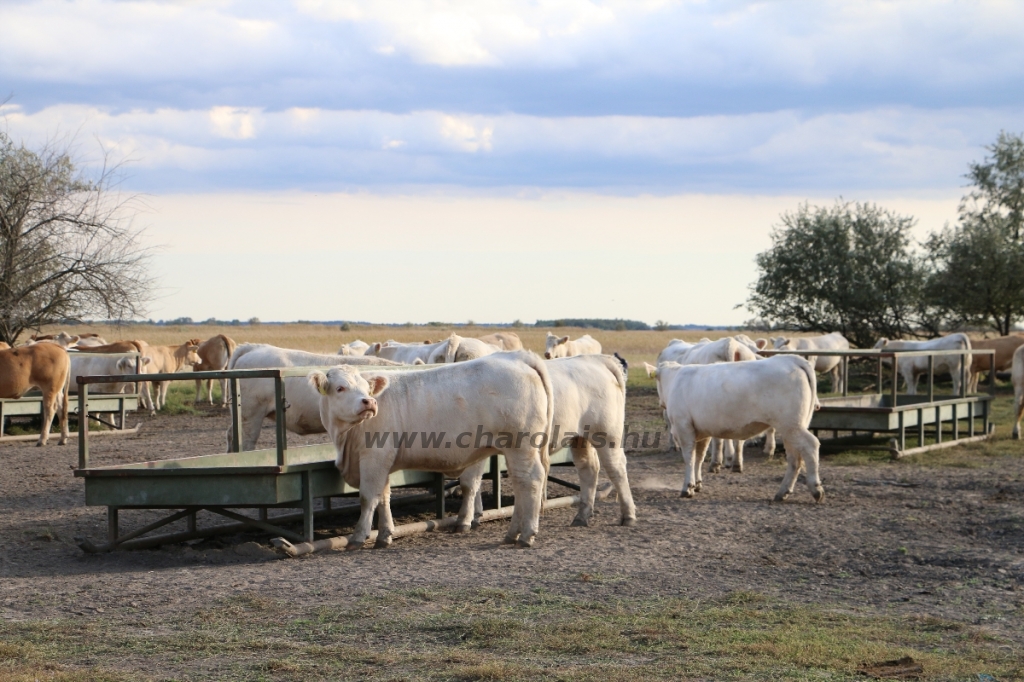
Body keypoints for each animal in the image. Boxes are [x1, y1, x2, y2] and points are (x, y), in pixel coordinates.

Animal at [309, 350, 557, 548]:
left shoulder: (374, 456)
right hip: (515, 449)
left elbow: (368, 497)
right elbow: (384, 497)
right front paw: (385, 535)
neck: (345, 439)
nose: (369, 402)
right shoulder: (383, 461)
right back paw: (513, 533)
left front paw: (359, 537)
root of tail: (516, 356)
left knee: (531, 480)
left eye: (366, 389)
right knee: (520, 483)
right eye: (340, 388)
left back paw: (526, 534)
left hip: (521, 445)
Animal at [647, 352, 823, 501]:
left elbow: (689, 457)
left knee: (810, 446)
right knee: (795, 457)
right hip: (791, 427)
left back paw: (816, 489)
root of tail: (791, 359)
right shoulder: (702, 431)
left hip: (791, 426)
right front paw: (697, 484)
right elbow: (699, 457)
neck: (675, 379)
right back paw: (782, 492)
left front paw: (687, 487)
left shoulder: (683, 427)